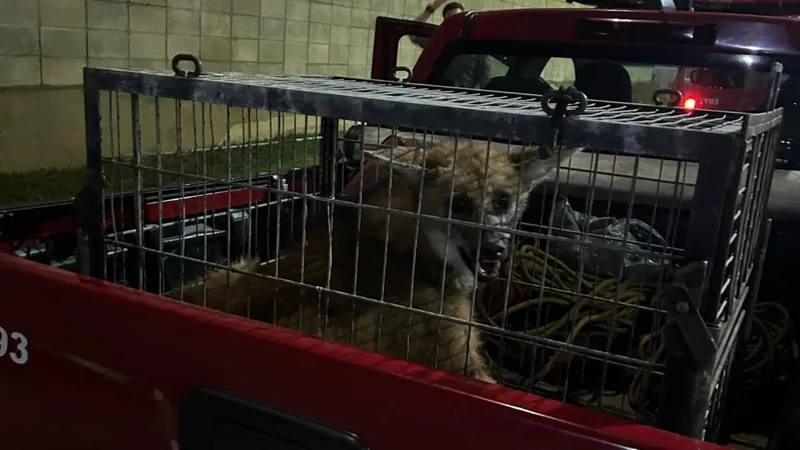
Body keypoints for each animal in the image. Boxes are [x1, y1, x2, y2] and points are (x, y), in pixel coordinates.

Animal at [175, 139, 580, 382]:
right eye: (459, 204)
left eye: (502, 200)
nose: (495, 248)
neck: (409, 247)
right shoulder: (457, 359)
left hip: (239, 267)